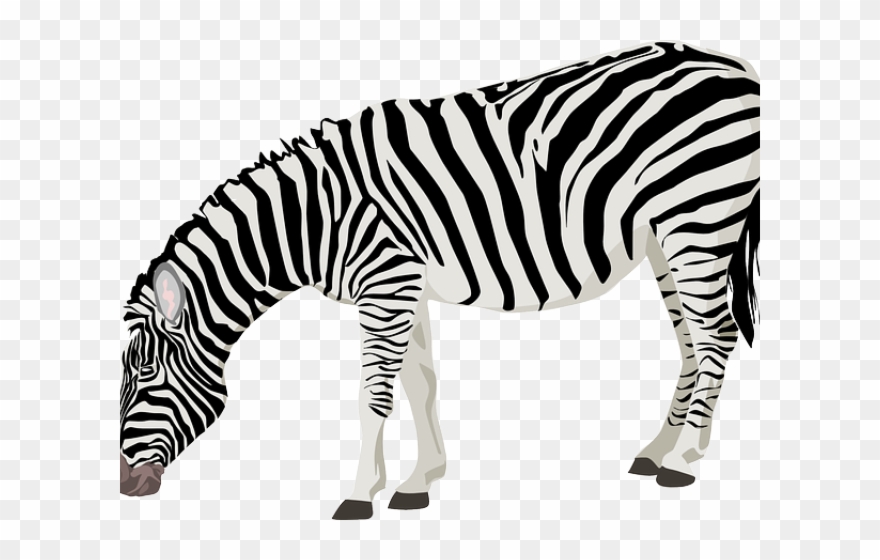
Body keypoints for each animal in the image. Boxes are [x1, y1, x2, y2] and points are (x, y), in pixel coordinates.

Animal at [120, 41, 760, 520]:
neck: (312, 218)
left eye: (144, 372)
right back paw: (658, 450)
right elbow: (419, 384)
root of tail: (736, 65)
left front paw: (359, 494)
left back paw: (683, 461)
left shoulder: (386, 281)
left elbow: (374, 394)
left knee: (716, 334)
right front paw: (418, 481)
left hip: (698, 217)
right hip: (664, 239)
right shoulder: (404, 286)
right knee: (691, 341)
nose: (127, 488)